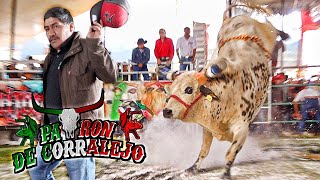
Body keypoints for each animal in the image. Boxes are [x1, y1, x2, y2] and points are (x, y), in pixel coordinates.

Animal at [164, 4, 278, 179]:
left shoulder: (242, 129)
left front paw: (225, 173)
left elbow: (231, 153)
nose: (166, 111)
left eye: (189, 89)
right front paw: (192, 168)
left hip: (269, 32)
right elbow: (204, 151)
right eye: (170, 91)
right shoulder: (207, 129)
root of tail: (240, 17)